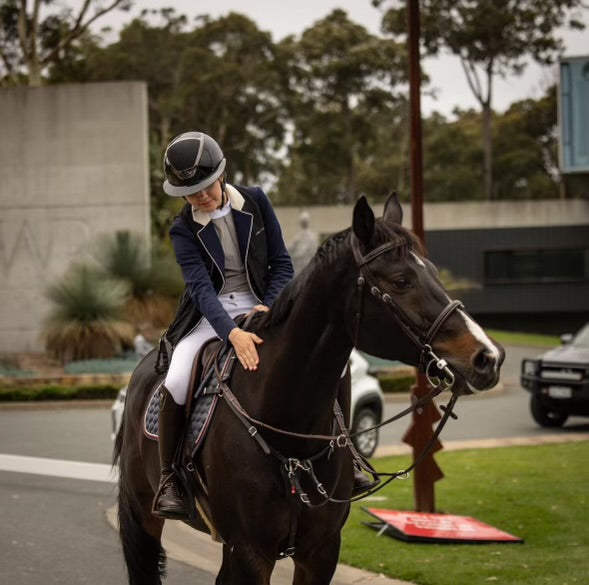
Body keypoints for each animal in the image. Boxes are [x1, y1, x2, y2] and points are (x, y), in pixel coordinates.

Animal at [115, 194, 506, 580]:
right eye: (401, 281)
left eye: (435, 274)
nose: (488, 357)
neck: (289, 433)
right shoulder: (250, 552)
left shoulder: (319, 552)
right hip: (144, 513)